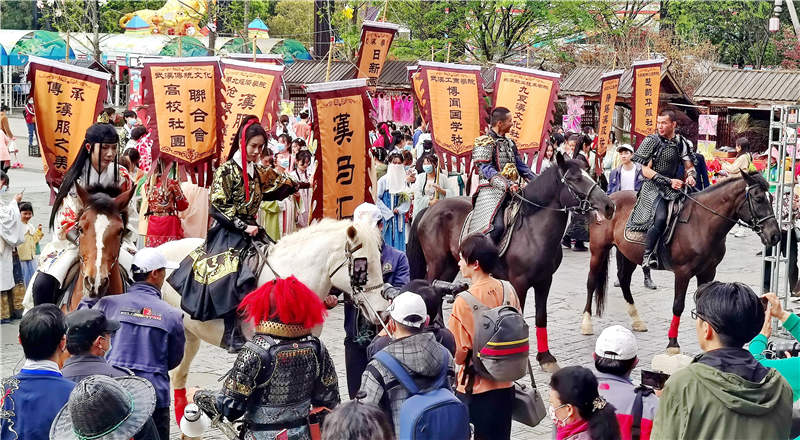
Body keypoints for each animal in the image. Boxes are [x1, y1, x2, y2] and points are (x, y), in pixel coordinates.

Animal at [410, 154, 616, 372]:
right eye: (575, 179)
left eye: (590, 174)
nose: (609, 206)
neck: (533, 232)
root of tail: (430, 209)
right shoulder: (520, 282)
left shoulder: (545, 281)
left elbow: (541, 316)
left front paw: (545, 357)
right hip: (436, 262)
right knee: (430, 286)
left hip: (450, 264)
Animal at [584, 170, 780, 352]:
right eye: (758, 199)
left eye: (771, 197)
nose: (775, 235)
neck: (702, 223)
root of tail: (608, 200)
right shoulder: (683, 272)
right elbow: (678, 306)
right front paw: (673, 344)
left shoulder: (708, 272)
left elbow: (704, 302)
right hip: (598, 250)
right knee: (592, 282)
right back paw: (586, 323)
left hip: (628, 254)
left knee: (624, 280)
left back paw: (637, 320)